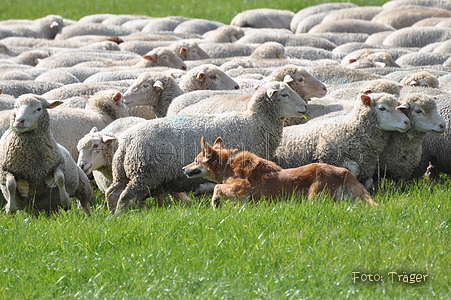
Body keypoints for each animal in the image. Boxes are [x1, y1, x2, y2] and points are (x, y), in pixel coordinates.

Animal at [103, 81, 308, 212]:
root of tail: (127, 140)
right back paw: (122, 215)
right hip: (144, 173)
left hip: (123, 173)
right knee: (124, 198)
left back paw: (113, 215)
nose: (305, 107)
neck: (255, 122)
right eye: (284, 94)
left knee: (111, 193)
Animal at [184, 137, 378, 207]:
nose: (183, 168)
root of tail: (343, 172)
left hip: (314, 197)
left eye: (195, 160)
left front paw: (215, 202)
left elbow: (218, 188)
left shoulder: (243, 188)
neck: (227, 165)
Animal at [272, 92, 414, 189]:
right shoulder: (330, 157)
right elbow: (352, 169)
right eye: (382, 108)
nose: (407, 122)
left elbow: (368, 182)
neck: (350, 129)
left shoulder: (366, 166)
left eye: (399, 107)